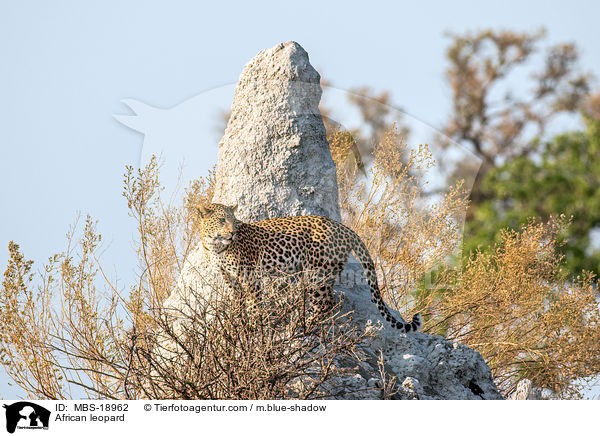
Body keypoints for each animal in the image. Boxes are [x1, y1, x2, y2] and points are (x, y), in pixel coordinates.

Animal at [197, 203, 422, 332]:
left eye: (234, 221)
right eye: (221, 220)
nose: (232, 232)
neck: (215, 246)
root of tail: (345, 228)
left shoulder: (250, 276)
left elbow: (253, 304)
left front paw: (253, 326)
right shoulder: (229, 278)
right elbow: (237, 301)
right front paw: (236, 324)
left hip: (317, 273)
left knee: (325, 303)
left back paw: (302, 326)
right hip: (325, 274)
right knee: (329, 302)